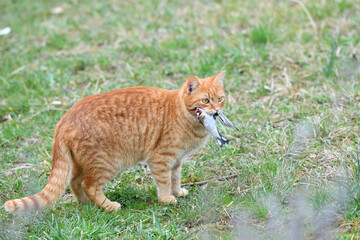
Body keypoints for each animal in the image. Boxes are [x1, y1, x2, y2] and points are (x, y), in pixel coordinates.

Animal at [4, 71, 226, 212]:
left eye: (221, 99)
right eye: (205, 100)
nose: (216, 110)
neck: (182, 114)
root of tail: (63, 120)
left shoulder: (176, 161)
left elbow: (175, 178)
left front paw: (178, 192)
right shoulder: (161, 159)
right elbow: (164, 182)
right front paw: (166, 199)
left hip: (84, 163)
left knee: (74, 182)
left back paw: (86, 204)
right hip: (107, 163)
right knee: (89, 185)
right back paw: (109, 206)